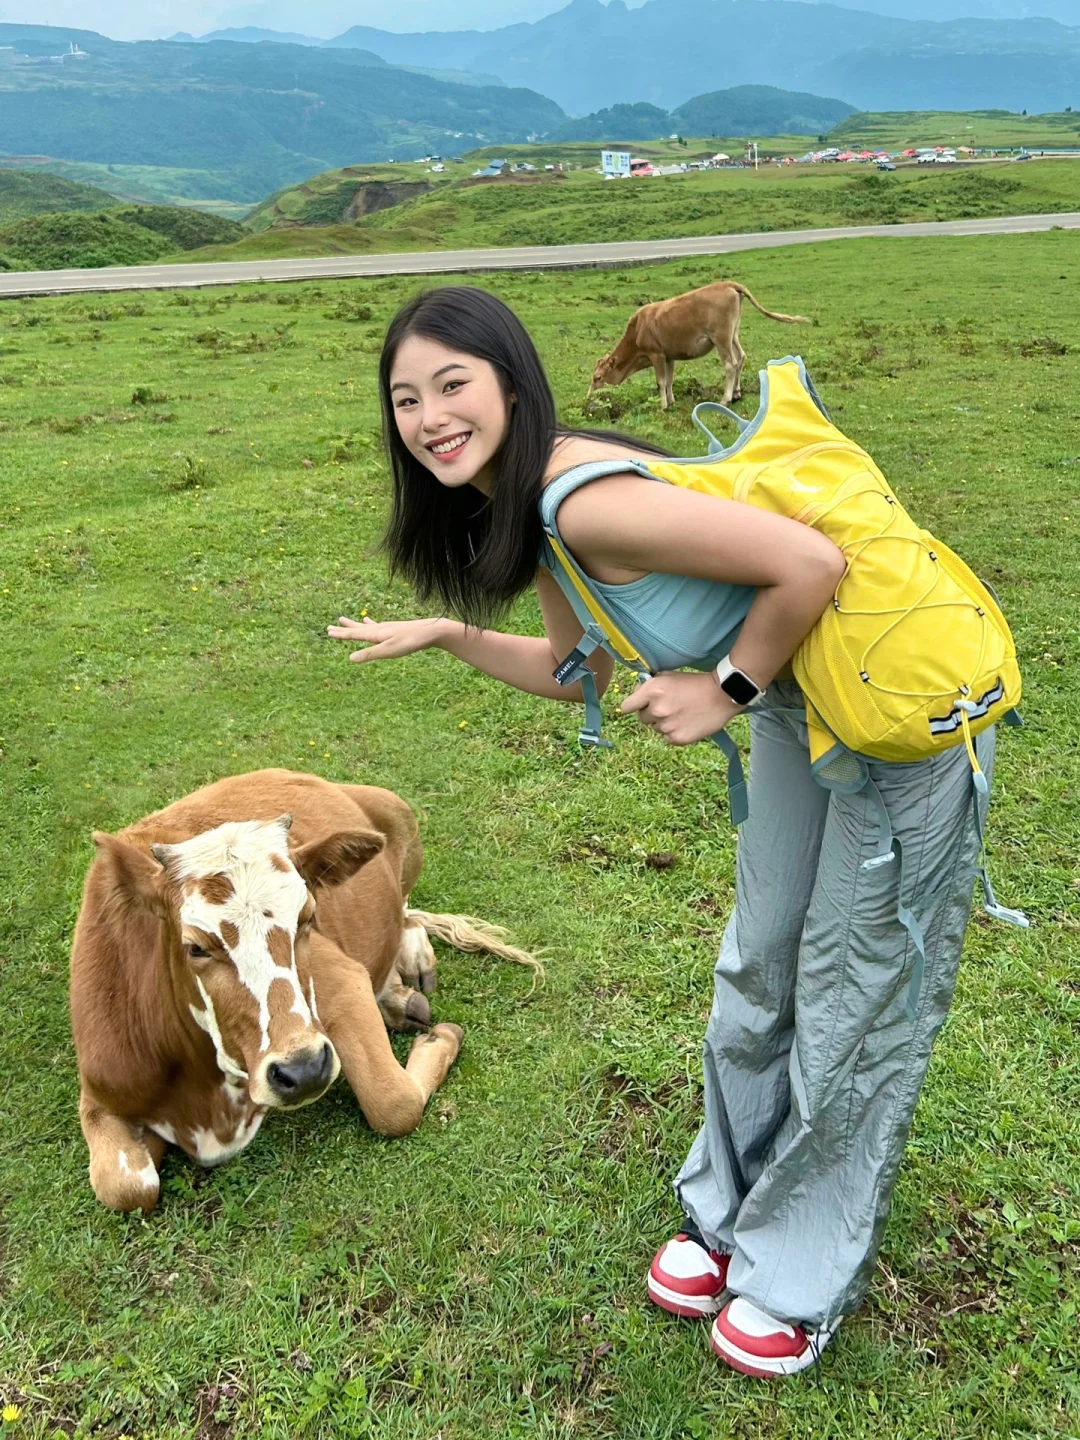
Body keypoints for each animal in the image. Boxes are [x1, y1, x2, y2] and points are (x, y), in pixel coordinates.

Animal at [69, 771, 538, 1209]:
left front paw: (438, 1037)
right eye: (195, 946)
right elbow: (127, 1187)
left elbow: (394, 1103)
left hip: (399, 815)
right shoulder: (100, 1090)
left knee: (404, 910)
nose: (305, 1069)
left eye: (308, 916)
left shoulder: (341, 983)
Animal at [587, 279, 806, 411]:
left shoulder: (656, 354)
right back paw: (736, 393)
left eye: (598, 377)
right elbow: (670, 380)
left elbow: (661, 382)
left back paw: (725, 399)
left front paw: (662, 406)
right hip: (733, 334)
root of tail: (728, 284)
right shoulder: (669, 356)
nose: (588, 398)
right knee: (741, 357)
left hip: (721, 338)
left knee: (730, 364)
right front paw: (672, 401)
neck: (639, 328)